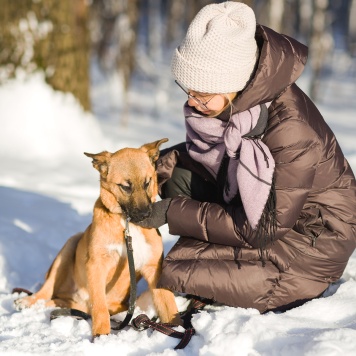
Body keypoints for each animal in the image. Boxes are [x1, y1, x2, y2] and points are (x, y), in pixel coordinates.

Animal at [14, 138, 181, 336]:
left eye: (147, 182)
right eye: (125, 186)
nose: (145, 215)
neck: (127, 226)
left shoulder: (154, 268)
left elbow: (169, 307)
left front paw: (176, 329)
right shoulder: (97, 264)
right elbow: (100, 307)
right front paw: (101, 336)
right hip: (70, 245)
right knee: (46, 290)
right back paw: (27, 301)